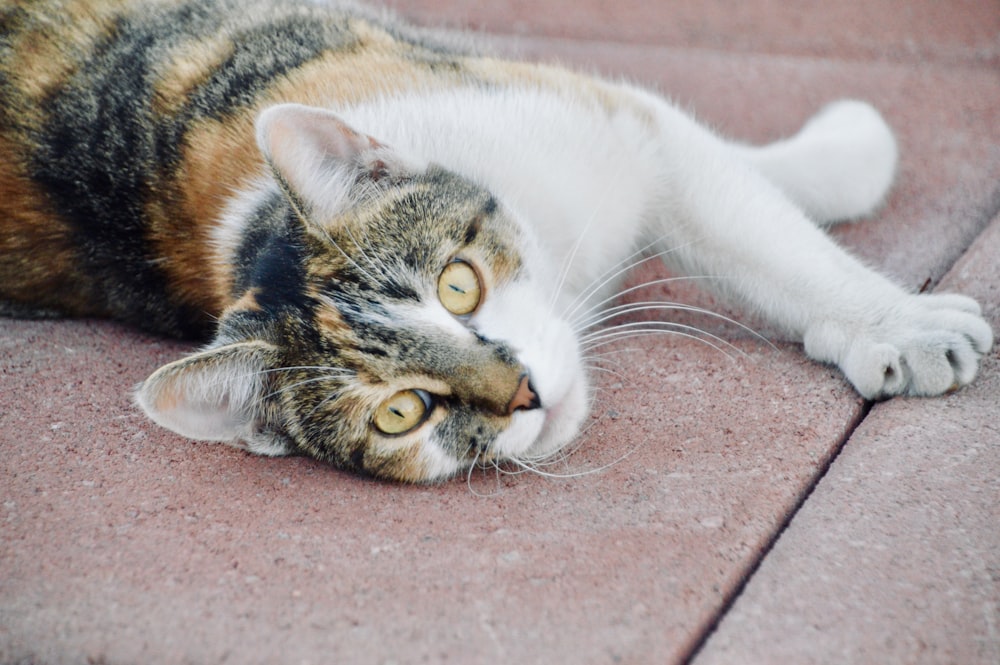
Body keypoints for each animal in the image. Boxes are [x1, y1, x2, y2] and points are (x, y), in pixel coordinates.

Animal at [0, 0, 992, 480]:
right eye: (403, 412)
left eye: (459, 285)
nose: (523, 393)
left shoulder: (583, 120)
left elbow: (749, 211)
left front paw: (888, 315)